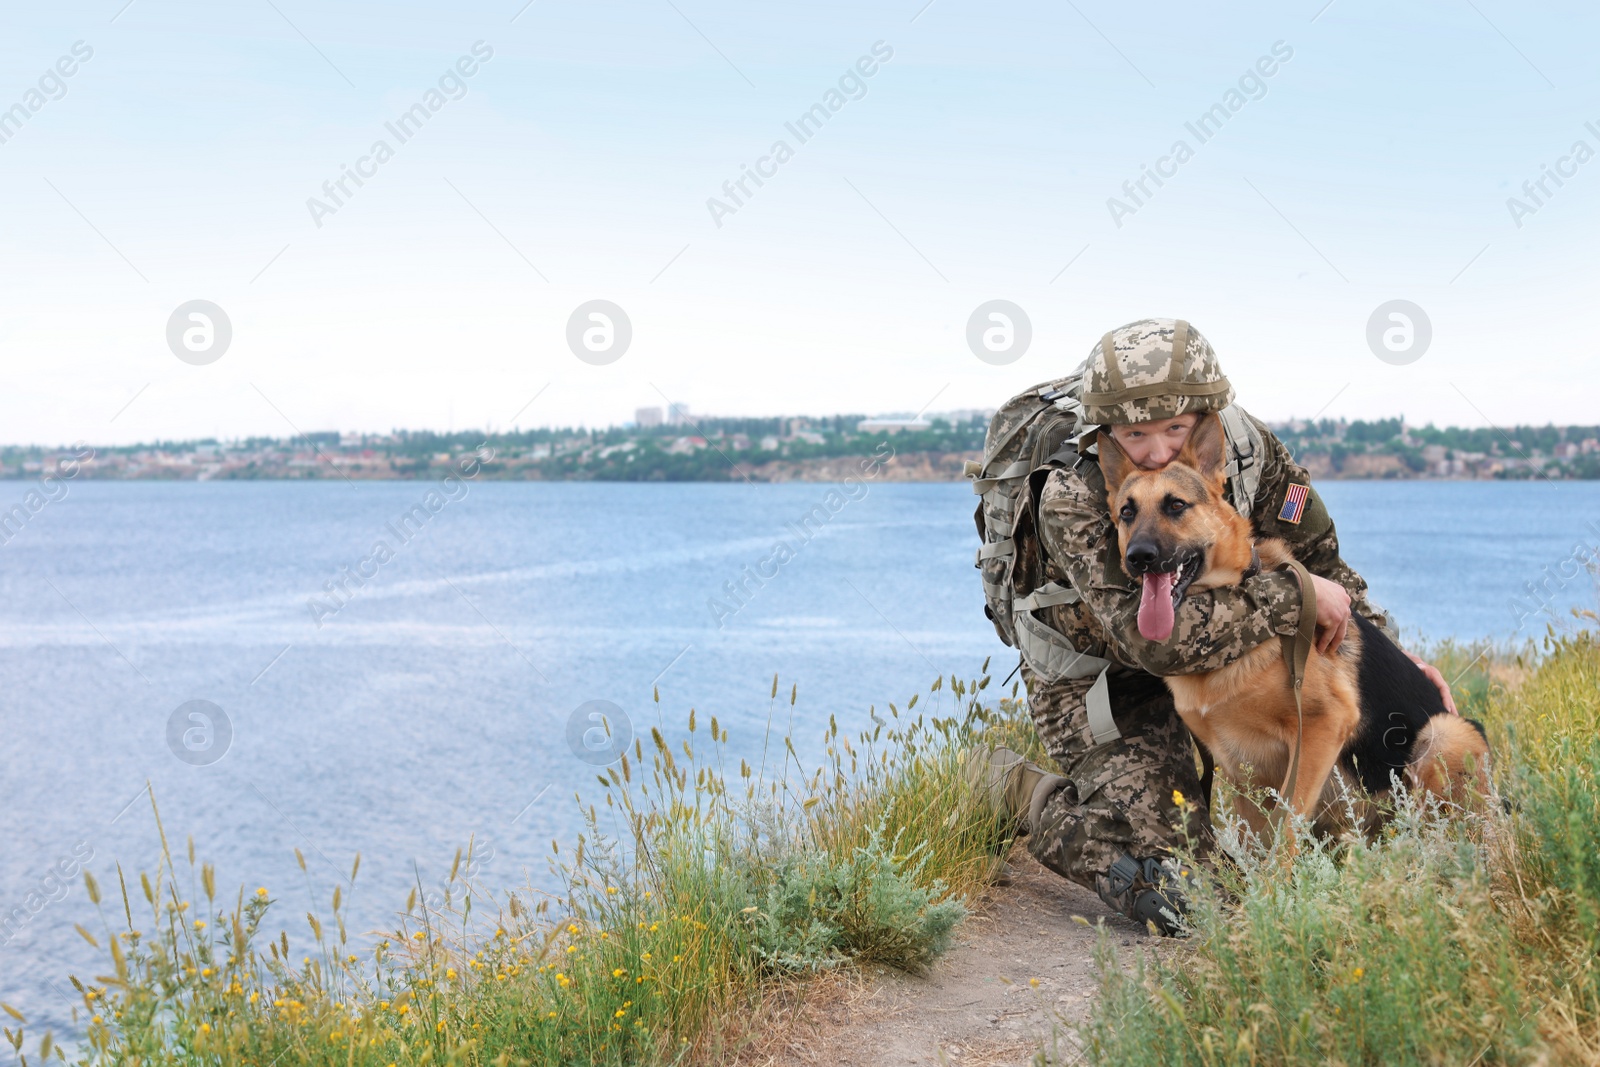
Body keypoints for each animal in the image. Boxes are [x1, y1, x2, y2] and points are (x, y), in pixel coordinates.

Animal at [1100, 412, 1484, 844]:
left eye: (1176, 505)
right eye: (1127, 512)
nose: (1139, 558)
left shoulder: (1320, 730)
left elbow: (1285, 833)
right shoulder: (1243, 775)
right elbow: (1256, 843)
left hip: (1445, 734)